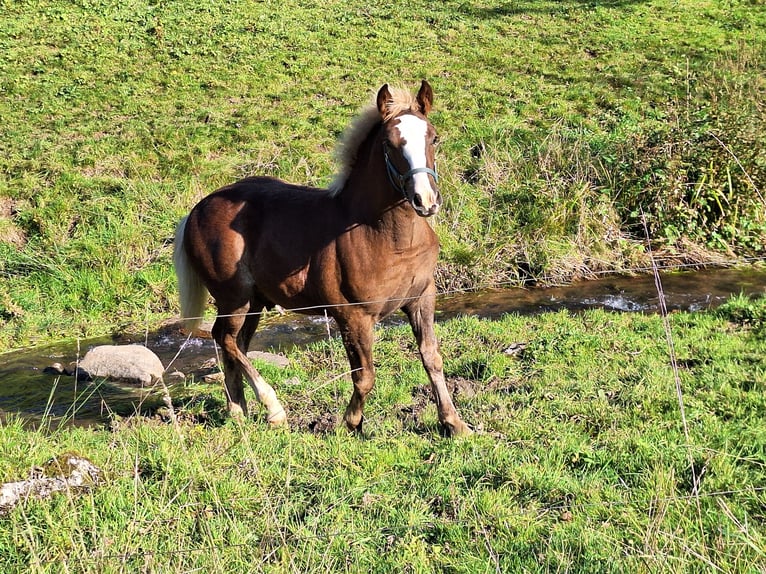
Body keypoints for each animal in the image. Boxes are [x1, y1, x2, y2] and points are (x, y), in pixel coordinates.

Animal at [173, 81, 471, 436]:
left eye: (434, 137)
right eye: (390, 143)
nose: (426, 200)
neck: (384, 237)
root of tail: (197, 209)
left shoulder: (421, 299)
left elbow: (432, 358)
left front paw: (455, 424)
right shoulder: (354, 316)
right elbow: (365, 375)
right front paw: (350, 423)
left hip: (255, 302)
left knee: (236, 344)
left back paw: (238, 411)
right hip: (234, 298)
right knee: (225, 338)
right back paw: (272, 408)